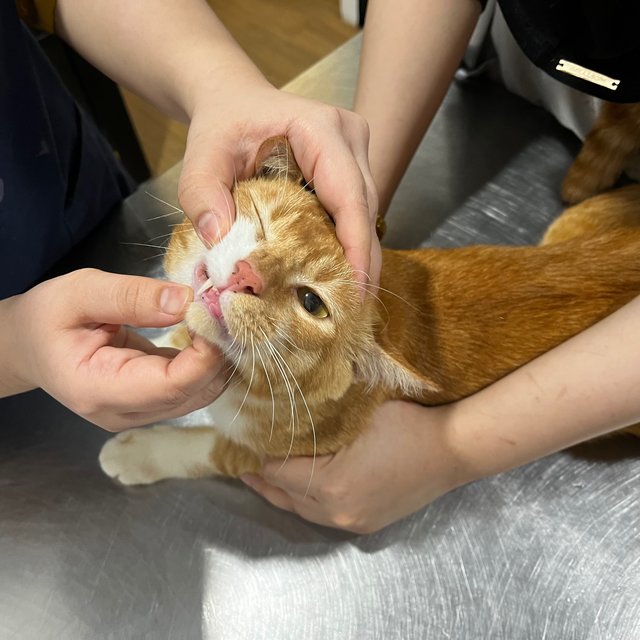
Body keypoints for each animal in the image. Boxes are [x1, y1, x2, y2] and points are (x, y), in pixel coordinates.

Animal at [100, 136, 640, 484]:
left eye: (312, 303)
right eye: (263, 221)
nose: (247, 274)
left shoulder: (280, 457)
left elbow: (206, 449)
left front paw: (138, 453)